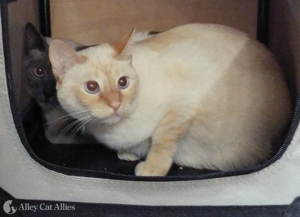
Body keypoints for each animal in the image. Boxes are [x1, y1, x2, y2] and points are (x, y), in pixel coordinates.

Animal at [48, 23, 292, 176]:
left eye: (123, 83)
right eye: (92, 87)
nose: (116, 105)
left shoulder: (182, 106)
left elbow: (161, 140)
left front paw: (151, 168)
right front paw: (128, 154)